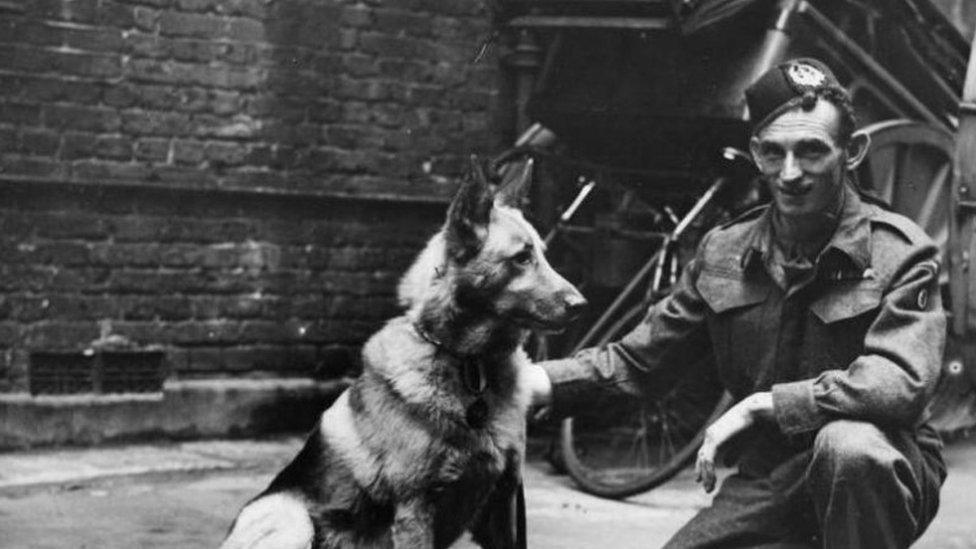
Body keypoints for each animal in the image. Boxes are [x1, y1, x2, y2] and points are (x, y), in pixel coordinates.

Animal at [222, 156, 588, 544]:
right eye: (521, 258)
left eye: (543, 256)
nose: (581, 305)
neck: (471, 366)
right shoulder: (415, 511)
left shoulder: (502, 504)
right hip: (290, 517)